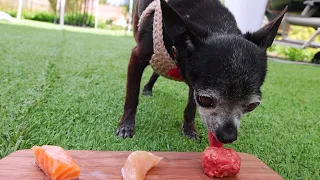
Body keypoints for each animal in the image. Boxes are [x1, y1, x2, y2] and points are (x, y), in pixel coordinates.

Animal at [116, 0, 288, 143]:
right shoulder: (137, 57)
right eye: (205, 100)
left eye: (252, 106)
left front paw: (189, 130)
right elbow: (132, 96)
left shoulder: (194, 82)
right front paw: (126, 126)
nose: (228, 136)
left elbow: (190, 108)